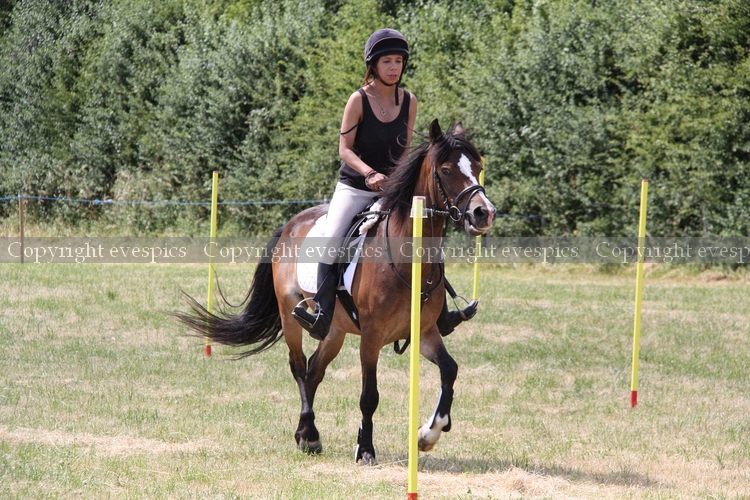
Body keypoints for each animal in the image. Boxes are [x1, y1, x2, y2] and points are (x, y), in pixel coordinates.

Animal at [175, 119, 495, 465]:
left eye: (478, 167)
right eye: (447, 170)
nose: (484, 213)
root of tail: (292, 223)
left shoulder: (423, 332)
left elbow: (450, 370)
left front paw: (428, 434)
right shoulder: (371, 336)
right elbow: (370, 395)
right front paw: (366, 449)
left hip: (334, 329)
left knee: (314, 370)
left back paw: (305, 433)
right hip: (290, 314)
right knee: (299, 366)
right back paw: (311, 434)